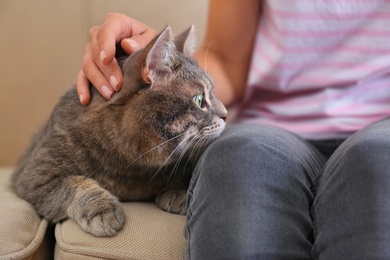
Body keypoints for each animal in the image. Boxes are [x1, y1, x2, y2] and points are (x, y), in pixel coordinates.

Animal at [11, 26, 225, 238]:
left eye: (213, 93)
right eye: (199, 100)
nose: (226, 114)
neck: (129, 167)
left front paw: (179, 190)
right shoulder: (34, 178)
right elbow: (74, 184)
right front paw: (101, 208)